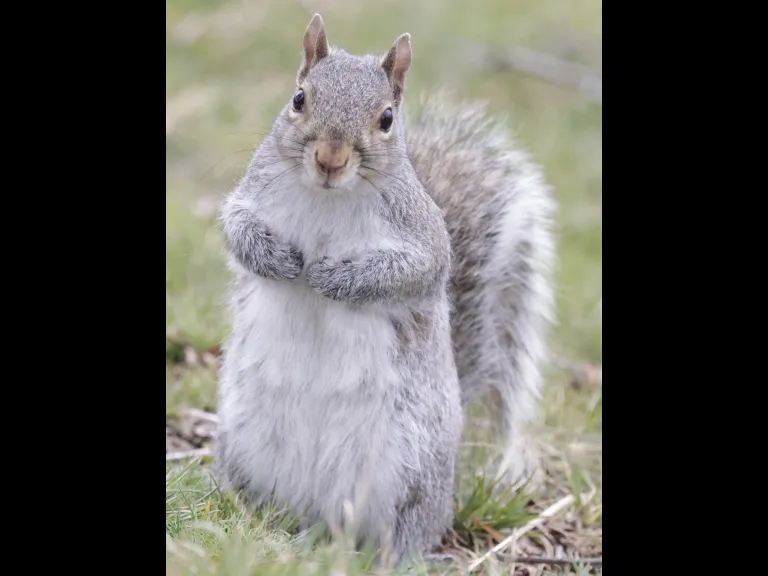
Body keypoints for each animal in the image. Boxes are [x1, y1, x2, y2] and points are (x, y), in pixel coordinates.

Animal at [214, 13, 555, 565]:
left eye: (388, 118)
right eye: (299, 98)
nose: (330, 158)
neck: (329, 197)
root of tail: (317, 519)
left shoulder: (422, 240)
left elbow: (411, 272)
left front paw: (335, 278)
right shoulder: (250, 195)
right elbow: (235, 228)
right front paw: (276, 258)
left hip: (407, 472)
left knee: (405, 528)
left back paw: (390, 557)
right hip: (244, 444)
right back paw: (248, 516)